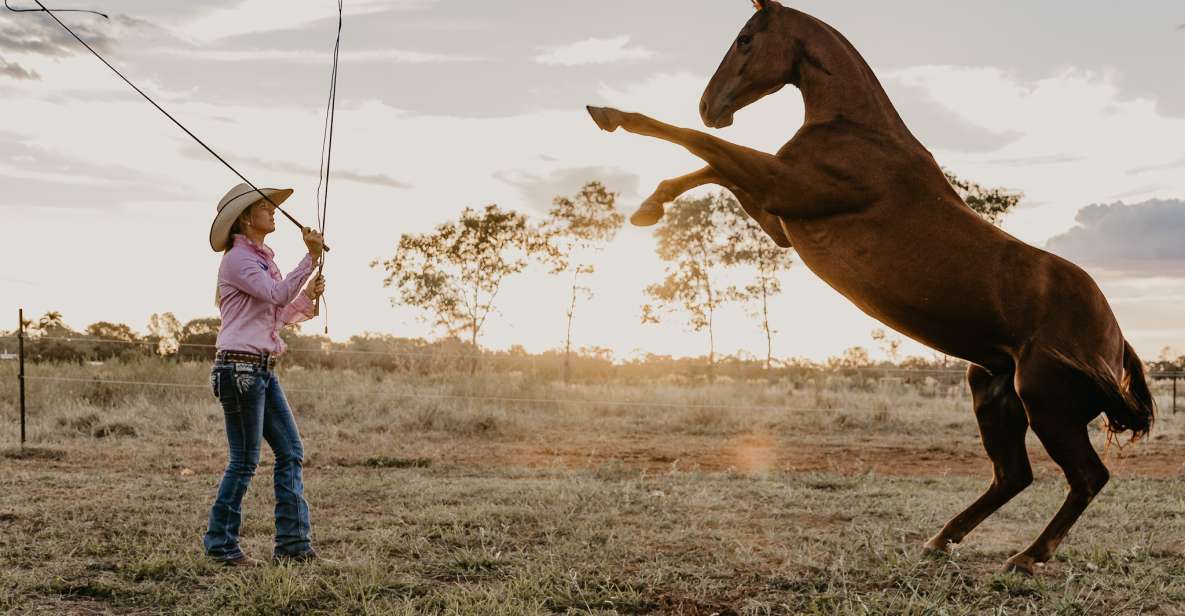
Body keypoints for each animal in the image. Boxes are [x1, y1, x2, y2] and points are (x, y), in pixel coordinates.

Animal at [587, 1, 1151, 578]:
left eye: (745, 40)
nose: (709, 106)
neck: (860, 134)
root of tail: (1113, 338)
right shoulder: (776, 215)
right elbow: (711, 167)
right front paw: (649, 206)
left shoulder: (781, 187)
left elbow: (703, 146)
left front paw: (610, 115)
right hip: (993, 389)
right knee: (1013, 475)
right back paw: (940, 540)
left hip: (1045, 402)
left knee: (1087, 477)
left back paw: (1026, 556)